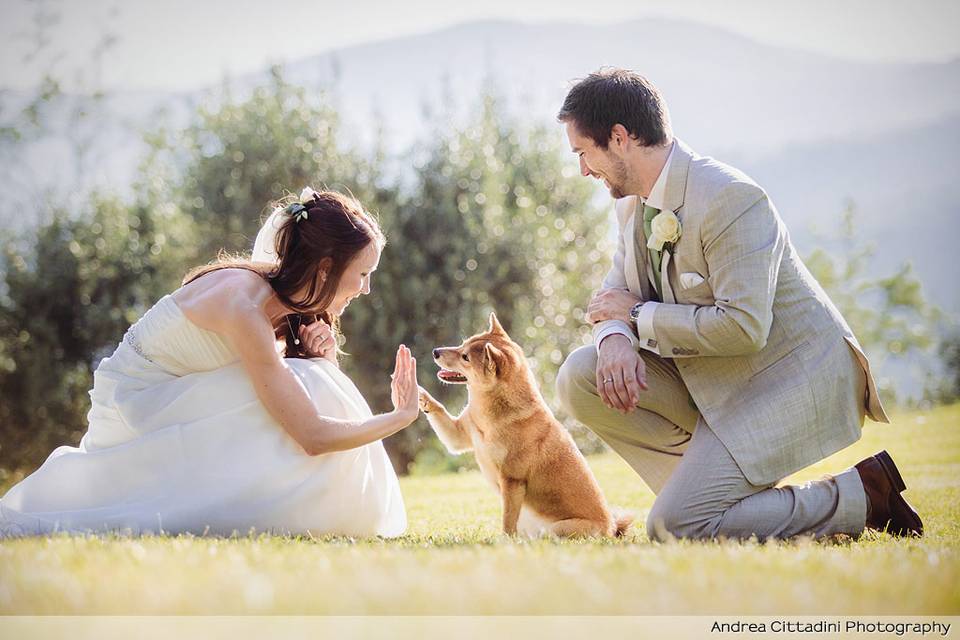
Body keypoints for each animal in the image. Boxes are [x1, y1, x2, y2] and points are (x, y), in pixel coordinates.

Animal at [418, 312, 632, 536]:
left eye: (465, 357)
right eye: (462, 345)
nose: (435, 352)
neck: (490, 417)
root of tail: (611, 528)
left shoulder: (512, 481)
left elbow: (507, 520)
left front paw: (505, 540)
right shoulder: (459, 437)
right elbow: (439, 410)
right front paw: (418, 393)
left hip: (557, 528)